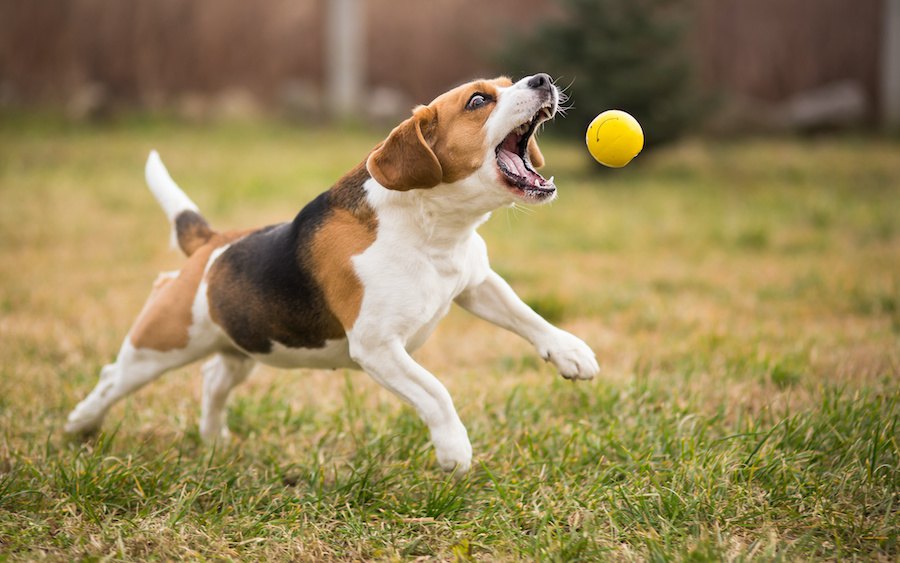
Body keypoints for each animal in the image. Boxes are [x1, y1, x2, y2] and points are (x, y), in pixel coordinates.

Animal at [63, 72, 596, 474]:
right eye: (479, 100)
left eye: (510, 83)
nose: (542, 79)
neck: (433, 230)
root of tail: (212, 244)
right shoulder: (378, 347)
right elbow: (436, 392)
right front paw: (454, 449)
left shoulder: (476, 283)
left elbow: (527, 317)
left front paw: (571, 353)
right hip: (161, 344)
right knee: (113, 378)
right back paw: (80, 426)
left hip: (243, 345)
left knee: (214, 378)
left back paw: (213, 439)